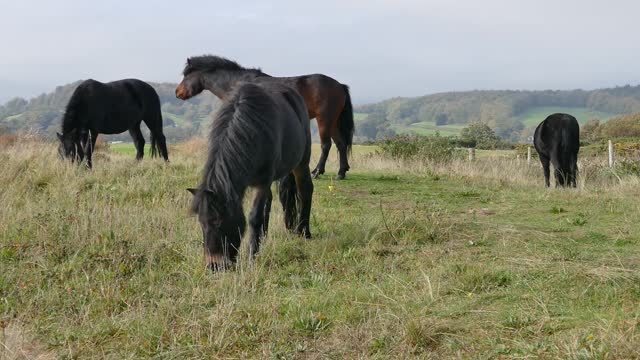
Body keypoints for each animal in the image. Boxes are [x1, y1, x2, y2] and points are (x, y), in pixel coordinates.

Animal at [175, 55, 356, 180]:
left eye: (186, 76)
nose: (177, 92)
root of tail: (339, 85)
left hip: (324, 120)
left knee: (326, 145)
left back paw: (317, 171)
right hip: (333, 122)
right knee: (341, 144)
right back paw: (341, 172)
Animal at [186, 81, 314, 272]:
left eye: (219, 222)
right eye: (201, 223)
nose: (214, 266)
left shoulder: (263, 182)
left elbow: (254, 218)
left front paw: (252, 257)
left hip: (302, 162)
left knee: (305, 190)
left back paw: (303, 231)